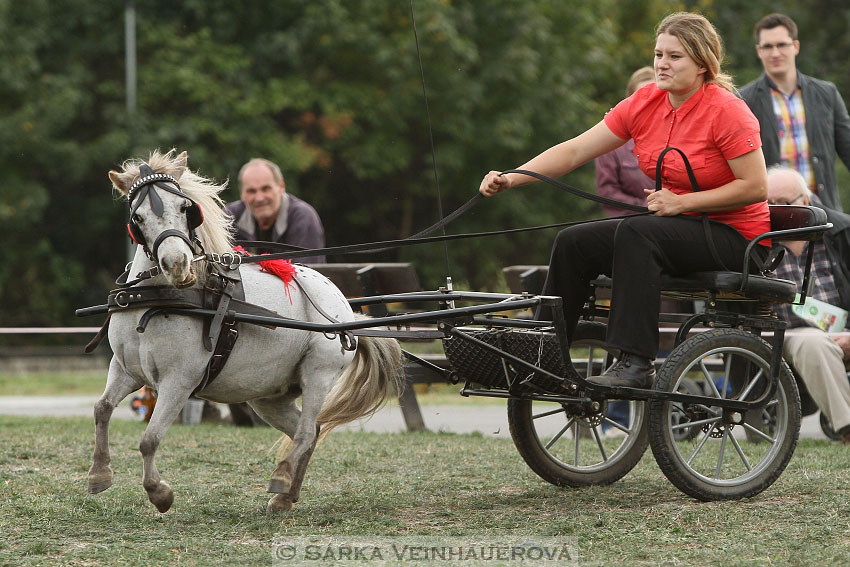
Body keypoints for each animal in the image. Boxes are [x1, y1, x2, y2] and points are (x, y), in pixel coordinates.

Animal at [89, 150, 400, 516]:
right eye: (137, 217)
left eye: (185, 208)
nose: (177, 264)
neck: (155, 300)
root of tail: (344, 308)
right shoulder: (125, 369)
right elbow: (102, 409)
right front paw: (99, 474)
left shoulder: (179, 381)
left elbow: (149, 439)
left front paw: (159, 493)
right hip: (267, 397)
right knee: (308, 430)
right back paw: (286, 496)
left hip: (318, 375)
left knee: (306, 432)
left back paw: (280, 479)